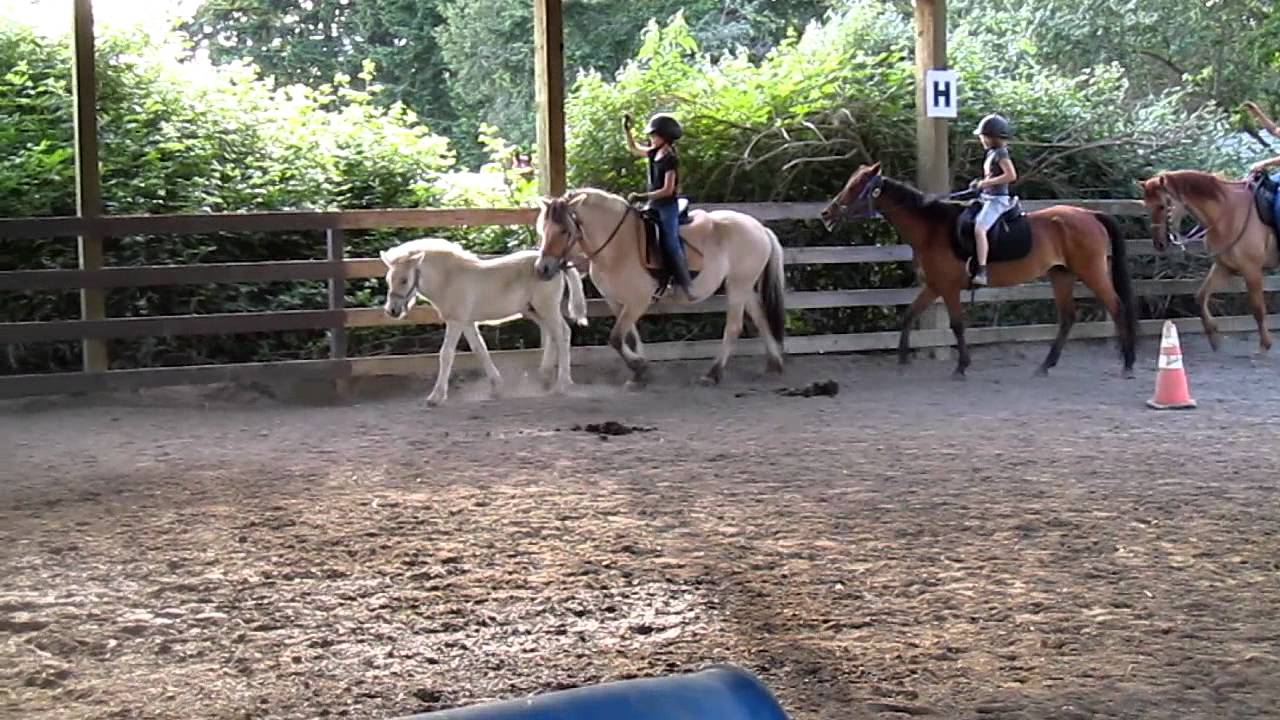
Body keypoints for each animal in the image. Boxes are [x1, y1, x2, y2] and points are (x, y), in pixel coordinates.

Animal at [381, 237, 588, 406]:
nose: (392, 310)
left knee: (562, 334)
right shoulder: (467, 322)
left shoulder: (456, 322)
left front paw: (436, 397)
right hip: (534, 311)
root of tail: (557, 266)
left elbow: (446, 354)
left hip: (547, 308)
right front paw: (496, 388)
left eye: (404, 280)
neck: (449, 278)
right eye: (388, 279)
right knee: (553, 334)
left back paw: (562, 385)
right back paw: (545, 379)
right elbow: (480, 350)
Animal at [533, 188, 786, 387]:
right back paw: (774, 364)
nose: (542, 268)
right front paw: (640, 371)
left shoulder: (638, 301)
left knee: (733, 327)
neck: (618, 245)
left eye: (564, 230)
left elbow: (616, 338)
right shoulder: (616, 301)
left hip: (737, 285)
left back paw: (713, 374)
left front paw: (639, 367)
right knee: (760, 318)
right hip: (744, 285)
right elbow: (629, 337)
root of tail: (759, 228)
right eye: (541, 229)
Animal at [820, 162, 1138, 378]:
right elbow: (909, 314)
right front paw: (902, 360)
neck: (931, 229)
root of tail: (1090, 214)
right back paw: (1045, 366)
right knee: (1068, 317)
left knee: (1117, 307)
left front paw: (961, 366)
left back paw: (1128, 364)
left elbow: (957, 325)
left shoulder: (948, 288)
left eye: (856, 187)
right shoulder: (933, 286)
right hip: (1061, 274)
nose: (826, 213)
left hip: (1092, 272)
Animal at [1138, 170, 1279, 354]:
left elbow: (1258, 308)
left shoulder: (1252, 270)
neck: (1229, 214)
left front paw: (1265, 345)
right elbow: (1201, 297)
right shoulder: (1223, 267)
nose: (1159, 244)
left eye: (1162, 206)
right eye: (1146, 205)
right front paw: (1213, 335)